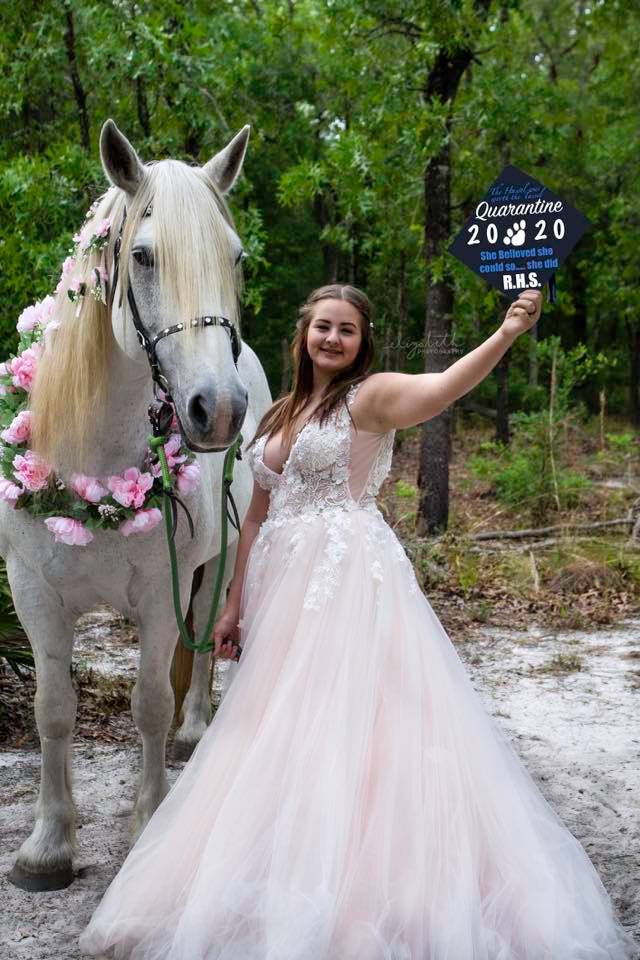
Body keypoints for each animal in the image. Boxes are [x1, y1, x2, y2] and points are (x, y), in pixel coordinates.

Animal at [0, 120, 272, 892]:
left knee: (205, 642)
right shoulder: (35, 596)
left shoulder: (158, 595)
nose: (218, 410)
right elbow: (52, 711)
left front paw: (149, 822)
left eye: (236, 257)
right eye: (143, 256)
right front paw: (48, 844)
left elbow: (149, 704)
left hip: (217, 565)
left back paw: (194, 733)